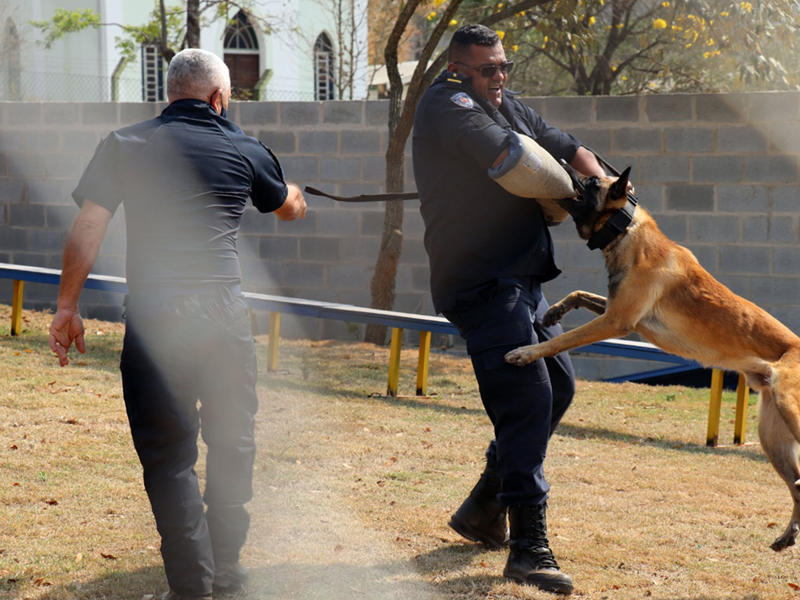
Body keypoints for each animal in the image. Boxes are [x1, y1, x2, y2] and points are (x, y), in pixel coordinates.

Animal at [506, 164, 800, 552]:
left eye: (591, 181)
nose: (565, 165)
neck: (627, 231)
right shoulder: (620, 313)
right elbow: (580, 294)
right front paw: (554, 311)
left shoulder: (617, 320)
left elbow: (562, 340)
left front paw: (526, 352)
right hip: (772, 436)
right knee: (798, 486)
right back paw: (787, 535)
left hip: (787, 407)